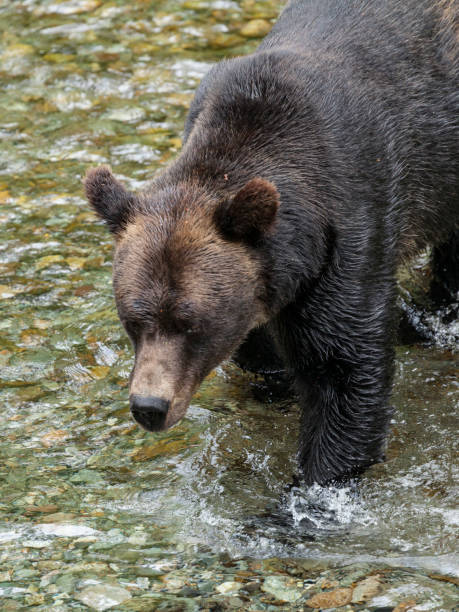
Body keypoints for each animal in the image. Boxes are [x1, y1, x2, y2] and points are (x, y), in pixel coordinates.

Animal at [84, 0, 458, 488]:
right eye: (133, 319)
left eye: (190, 322)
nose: (150, 406)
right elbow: (262, 349)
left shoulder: (350, 228)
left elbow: (344, 371)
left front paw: (311, 485)